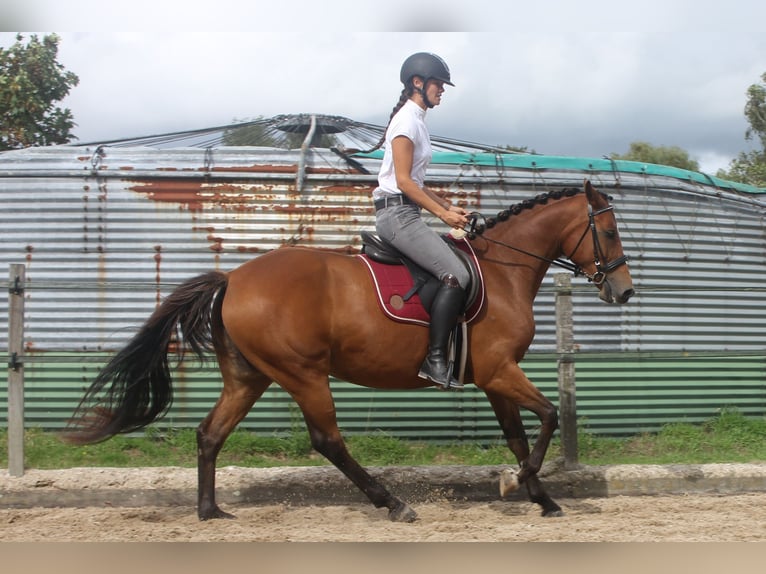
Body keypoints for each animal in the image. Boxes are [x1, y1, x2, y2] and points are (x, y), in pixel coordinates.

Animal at [65, 180, 634, 522]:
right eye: (607, 231)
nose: (624, 292)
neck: (501, 272)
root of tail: (233, 279)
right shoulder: (499, 371)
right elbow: (550, 416)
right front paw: (517, 485)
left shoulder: (494, 377)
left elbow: (519, 435)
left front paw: (540, 496)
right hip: (303, 373)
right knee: (327, 441)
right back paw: (393, 503)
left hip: (249, 376)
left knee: (210, 434)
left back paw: (210, 511)